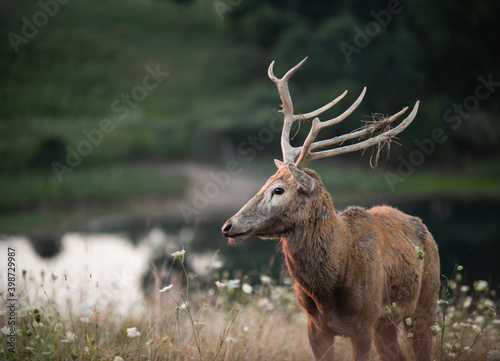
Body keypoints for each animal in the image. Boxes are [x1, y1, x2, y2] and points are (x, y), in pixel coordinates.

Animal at [221, 57, 440, 358]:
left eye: (278, 189)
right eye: (265, 182)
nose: (228, 225)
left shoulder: (365, 322)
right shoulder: (314, 325)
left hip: (426, 302)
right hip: (388, 323)